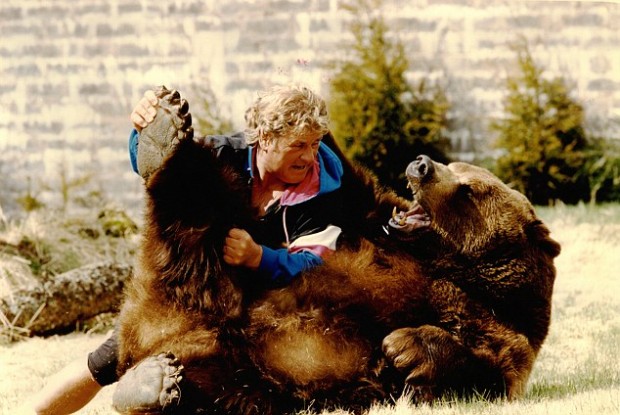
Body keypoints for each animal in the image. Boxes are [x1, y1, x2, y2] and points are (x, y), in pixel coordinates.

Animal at [112, 88, 560, 415]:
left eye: (469, 190)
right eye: (456, 166)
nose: (422, 165)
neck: (446, 265)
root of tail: (156, 334)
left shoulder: (502, 327)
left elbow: (487, 369)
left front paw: (405, 347)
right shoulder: (372, 223)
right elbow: (353, 188)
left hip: (243, 377)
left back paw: (151, 383)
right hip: (216, 265)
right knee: (194, 205)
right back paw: (163, 129)